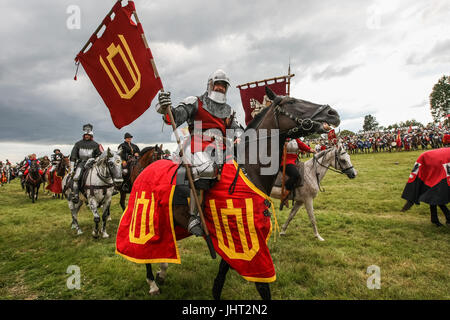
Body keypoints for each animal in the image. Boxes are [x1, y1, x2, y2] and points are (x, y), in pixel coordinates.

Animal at [139, 86, 340, 298]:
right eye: (291, 101)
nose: (332, 113)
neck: (249, 169)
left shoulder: (237, 241)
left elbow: (222, 274)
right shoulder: (244, 237)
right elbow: (262, 285)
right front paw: (164, 105)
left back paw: (161, 271)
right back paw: (152, 282)